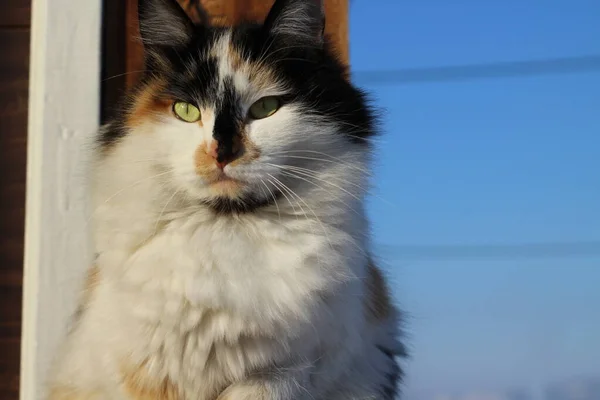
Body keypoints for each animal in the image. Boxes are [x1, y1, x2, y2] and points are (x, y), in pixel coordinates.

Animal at [47, 0, 406, 398]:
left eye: (266, 108)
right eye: (185, 110)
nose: (221, 153)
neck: (227, 228)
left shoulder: (283, 371)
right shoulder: (146, 373)